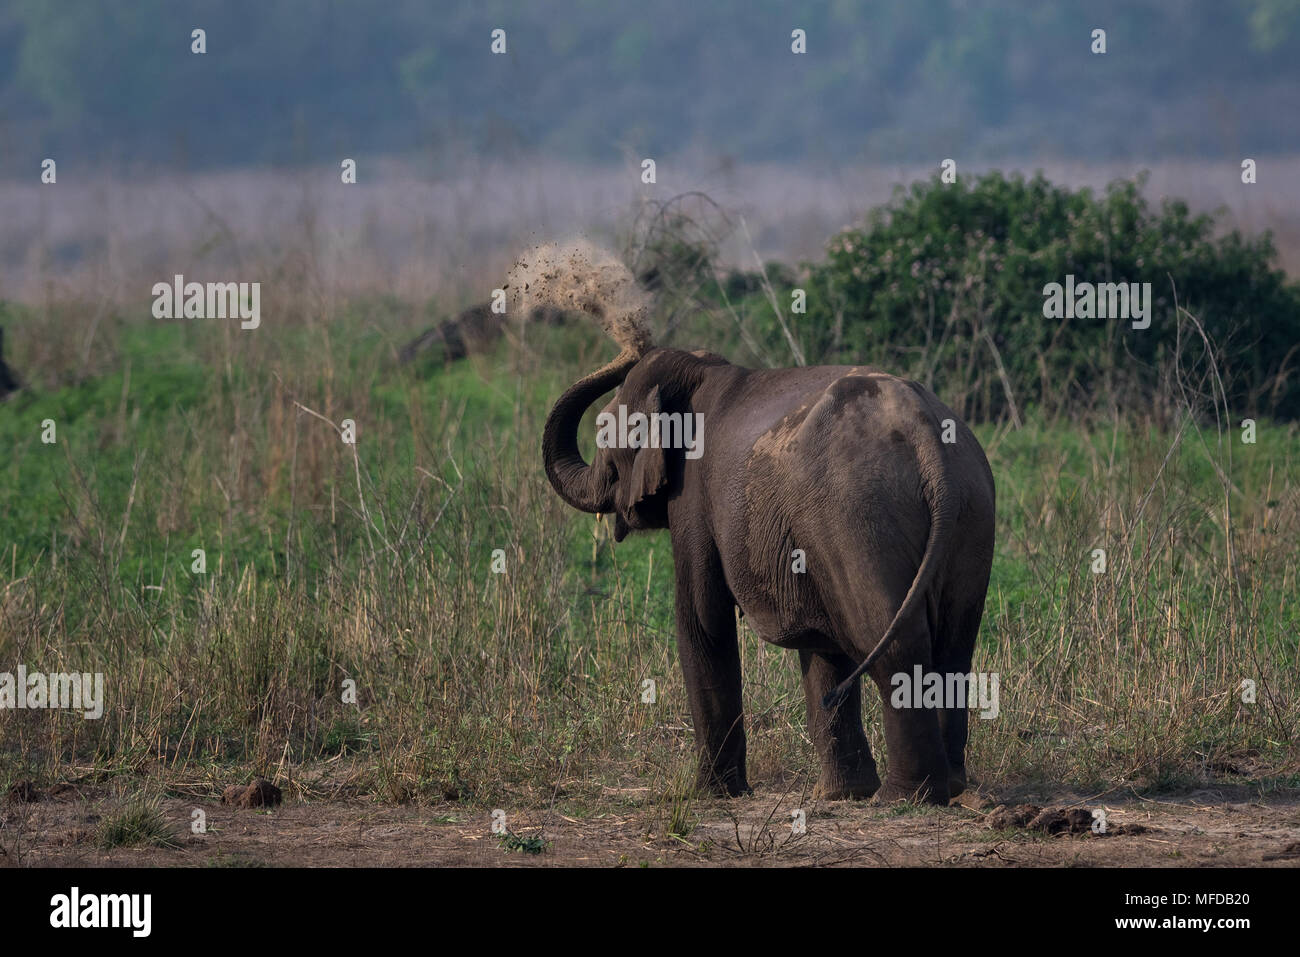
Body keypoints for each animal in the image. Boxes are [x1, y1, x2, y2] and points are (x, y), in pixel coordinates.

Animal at [527, 244, 993, 800]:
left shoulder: (695, 497)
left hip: (861, 520)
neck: (703, 372)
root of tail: (926, 435)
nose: (630, 339)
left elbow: (702, 620)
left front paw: (711, 795)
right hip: (968, 512)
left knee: (896, 645)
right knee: (955, 647)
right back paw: (950, 787)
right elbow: (823, 650)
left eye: (606, 437)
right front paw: (840, 796)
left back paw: (907, 797)